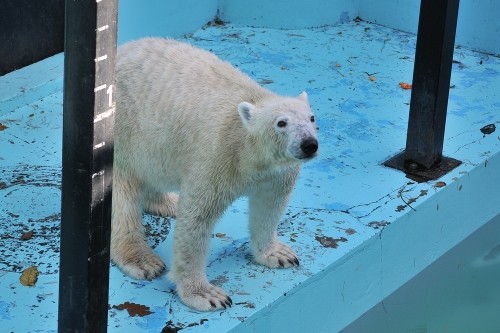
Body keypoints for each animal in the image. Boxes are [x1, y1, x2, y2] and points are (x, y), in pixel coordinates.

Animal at [111, 39, 318, 312]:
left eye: (312, 118)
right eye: (281, 123)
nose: (309, 144)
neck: (246, 145)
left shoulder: (277, 173)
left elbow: (270, 205)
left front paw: (278, 254)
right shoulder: (216, 159)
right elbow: (197, 219)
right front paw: (206, 294)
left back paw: (168, 202)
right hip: (126, 130)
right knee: (123, 195)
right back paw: (142, 259)